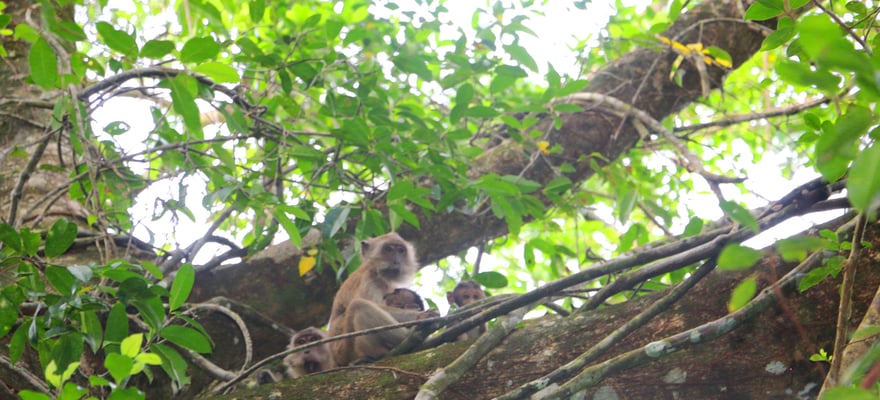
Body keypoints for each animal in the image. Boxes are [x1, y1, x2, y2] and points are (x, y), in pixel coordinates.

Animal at [326, 231, 436, 366]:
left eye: (400, 250)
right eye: (388, 249)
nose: (396, 261)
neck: (374, 270)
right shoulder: (368, 280)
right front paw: (420, 316)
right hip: (347, 349)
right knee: (359, 305)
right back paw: (409, 336)